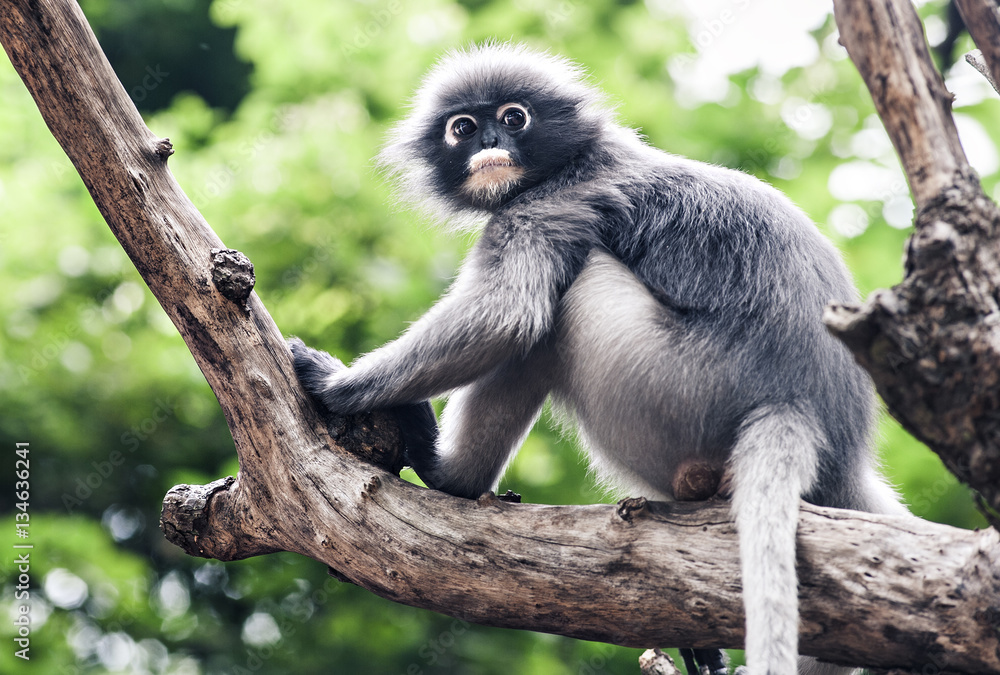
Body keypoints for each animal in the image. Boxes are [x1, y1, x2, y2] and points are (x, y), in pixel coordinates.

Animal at [288, 42, 908, 674]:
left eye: (514, 117)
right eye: (462, 128)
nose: (490, 142)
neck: (578, 159)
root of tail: (797, 404)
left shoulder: (549, 205)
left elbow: (506, 316)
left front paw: (332, 382)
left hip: (672, 387)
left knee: (562, 303)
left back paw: (451, 477)